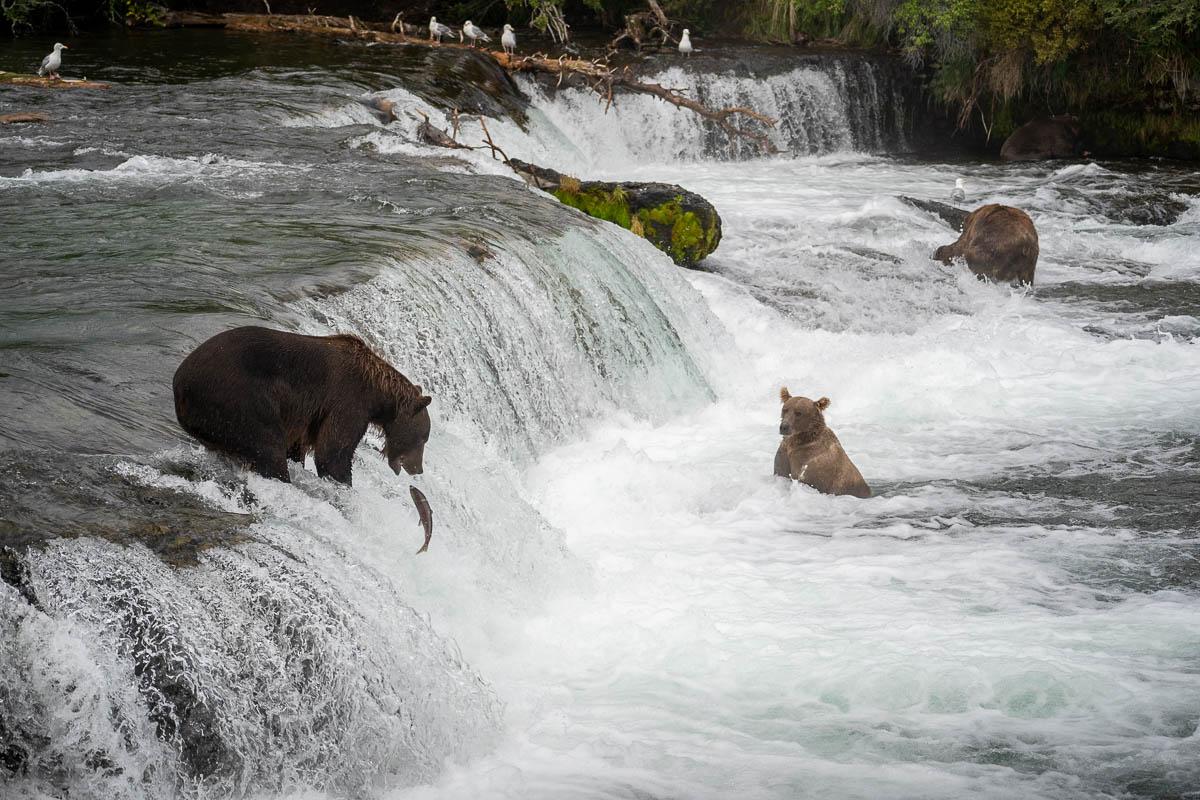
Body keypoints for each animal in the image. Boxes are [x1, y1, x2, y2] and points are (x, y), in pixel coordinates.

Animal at [169, 326, 432, 489]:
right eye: (423, 438)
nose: (419, 469)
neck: (378, 396)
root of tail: (179, 382)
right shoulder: (348, 400)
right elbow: (333, 453)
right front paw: (344, 483)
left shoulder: (306, 417)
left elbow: (300, 447)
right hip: (239, 399)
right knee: (267, 447)